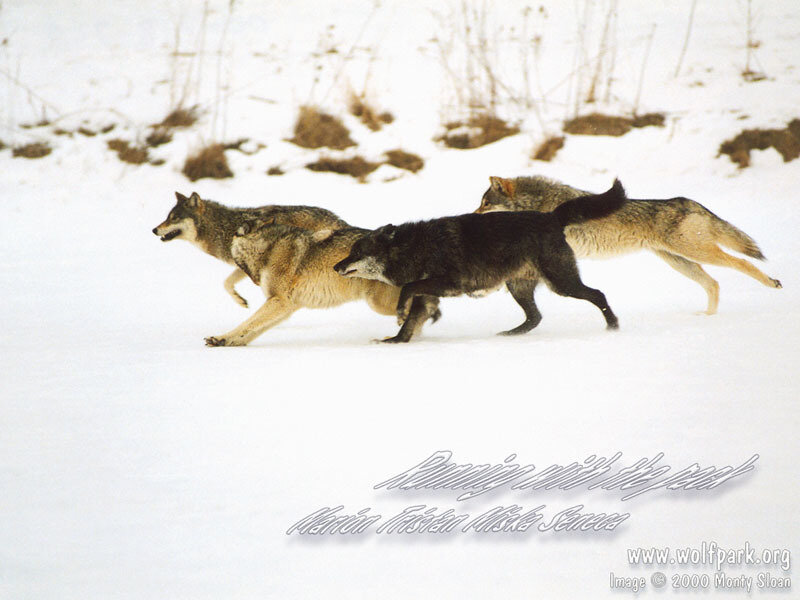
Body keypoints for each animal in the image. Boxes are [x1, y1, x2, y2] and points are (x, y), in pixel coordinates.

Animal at [152, 191, 350, 308]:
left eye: (174, 218)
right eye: (167, 217)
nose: (154, 229)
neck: (224, 229)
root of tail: (338, 219)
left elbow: (227, 282)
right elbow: (226, 283)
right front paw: (240, 301)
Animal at [204, 221, 441, 346]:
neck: (268, 250)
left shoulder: (278, 301)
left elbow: (247, 324)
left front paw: (223, 338)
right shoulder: (286, 307)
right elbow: (253, 330)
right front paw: (228, 343)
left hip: (378, 304)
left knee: (425, 309)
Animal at [334, 180, 627, 341]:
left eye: (357, 252)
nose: (336, 266)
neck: (415, 247)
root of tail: (551, 217)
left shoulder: (446, 284)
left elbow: (406, 291)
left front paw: (398, 314)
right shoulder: (427, 295)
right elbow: (410, 323)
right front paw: (395, 342)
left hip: (562, 284)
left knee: (598, 295)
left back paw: (613, 328)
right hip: (518, 287)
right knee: (535, 317)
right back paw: (508, 335)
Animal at [476, 175, 782, 314]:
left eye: (486, 204)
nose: (472, 215)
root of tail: (687, 201)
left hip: (695, 253)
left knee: (742, 262)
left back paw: (772, 283)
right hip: (679, 261)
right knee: (714, 283)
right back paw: (706, 316)